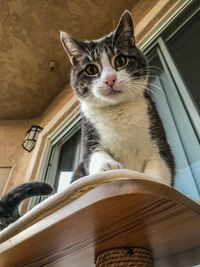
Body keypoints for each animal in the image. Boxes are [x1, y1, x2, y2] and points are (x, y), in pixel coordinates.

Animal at [59, 9, 175, 186]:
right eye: (91, 69)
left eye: (120, 60)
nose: (110, 79)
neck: (118, 111)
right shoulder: (88, 138)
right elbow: (95, 156)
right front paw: (109, 166)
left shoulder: (159, 142)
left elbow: (158, 171)